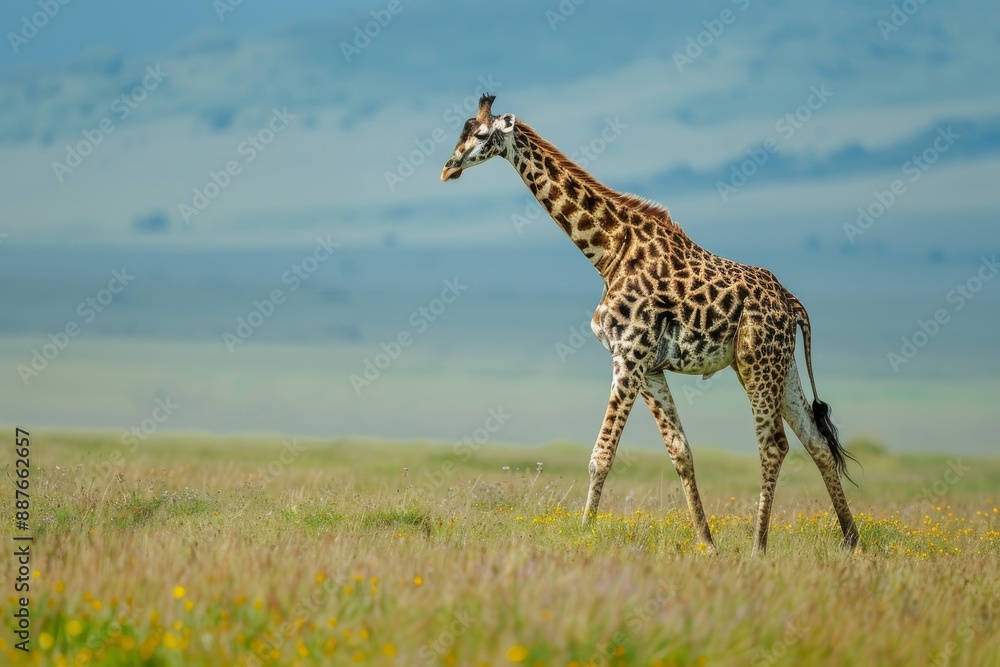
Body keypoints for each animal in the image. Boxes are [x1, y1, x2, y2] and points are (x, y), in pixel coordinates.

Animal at [440, 94, 859, 555]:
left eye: (482, 134)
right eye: (461, 130)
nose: (448, 166)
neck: (608, 251)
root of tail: (793, 304)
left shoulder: (628, 355)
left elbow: (602, 455)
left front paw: (584, 532)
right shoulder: (649, 366)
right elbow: (681, 452)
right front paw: (706, 544)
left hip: (758, 363)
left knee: (774, 446)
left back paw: (758, 547)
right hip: (780, 367)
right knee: (816, 441)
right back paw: (851, 540)